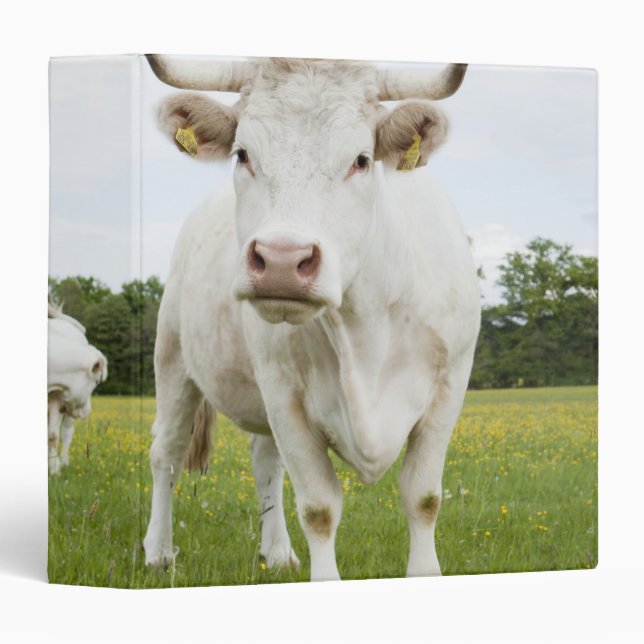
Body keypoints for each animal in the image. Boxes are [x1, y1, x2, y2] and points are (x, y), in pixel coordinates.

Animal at [47, 303, 108, 474]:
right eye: (97, 381)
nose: (87, 411)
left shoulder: (56, 400)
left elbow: (52, 436)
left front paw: (54, 470)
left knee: (66, 433)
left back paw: (64, 462)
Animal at [143, 55, 481, 581]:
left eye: (361, 159)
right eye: (242, 154)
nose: (283, 260)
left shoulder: (450, 386)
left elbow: (423, 497)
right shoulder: (283, 393)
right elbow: (319, 508)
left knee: (265, 460)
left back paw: (277, 552)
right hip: (173, 357)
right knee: (168, 453)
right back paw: (158, 552)